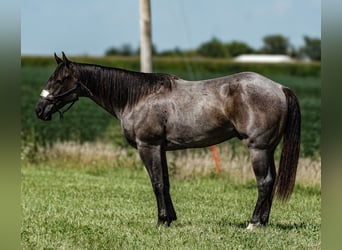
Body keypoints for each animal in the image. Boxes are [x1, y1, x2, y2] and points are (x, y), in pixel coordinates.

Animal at [36, 53, 300, 230]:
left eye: (59, 80)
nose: (40, 110)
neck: (137, 98)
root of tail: (280, 87)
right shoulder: (161, 149)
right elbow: (166, 181)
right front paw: (170, 218)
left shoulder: (148, 146)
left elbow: (157, 183)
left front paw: (161, 220)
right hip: (268, 148)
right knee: (271, 181)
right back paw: (263, 223)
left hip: (258, 148)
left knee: (264, 182)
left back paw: (253, 223)